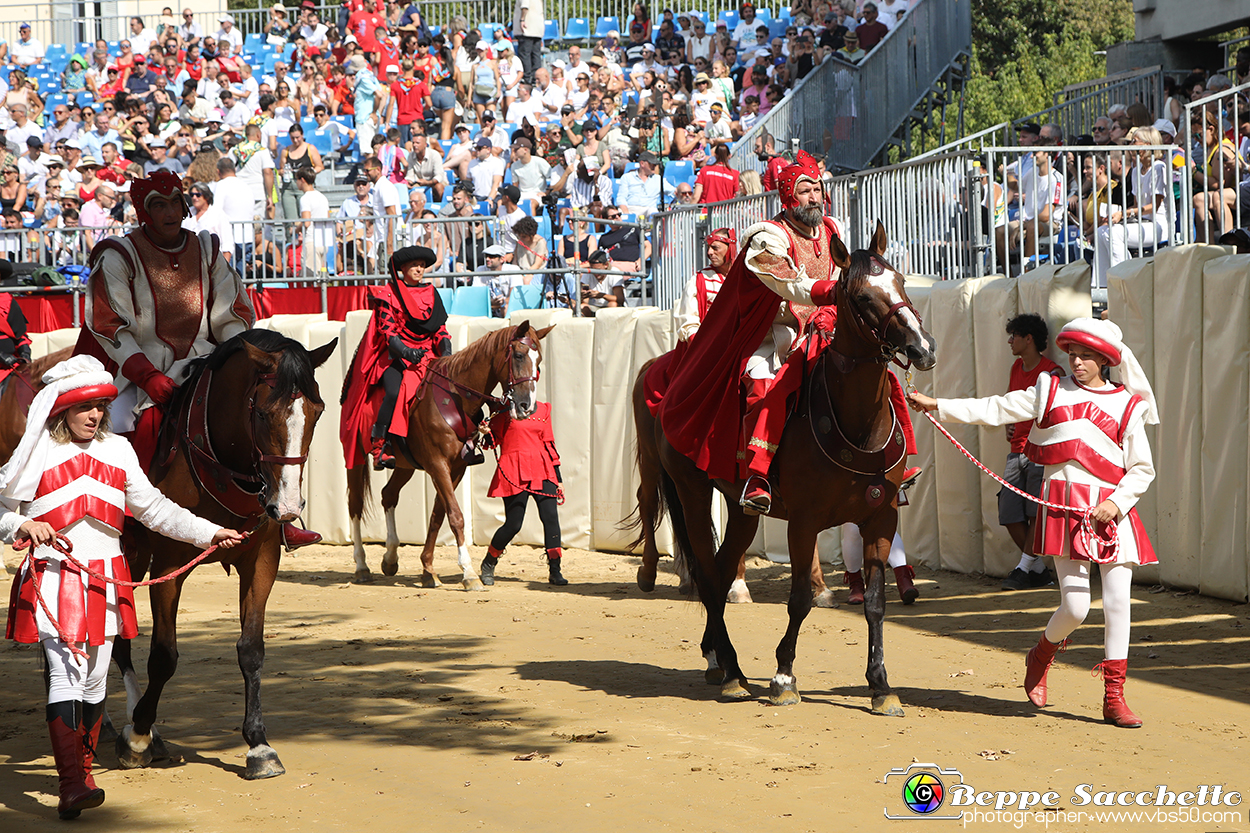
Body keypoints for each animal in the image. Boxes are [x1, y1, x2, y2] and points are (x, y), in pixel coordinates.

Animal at [111, 330, 335, 780]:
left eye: (317, 411)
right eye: (263, 413)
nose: (287, 507)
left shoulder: (261, 562)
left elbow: (251, 649)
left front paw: (259, 745)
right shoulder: (169, 567)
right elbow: (163, 656)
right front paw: (139, 735)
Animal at [345, 317, 555, 582]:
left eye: (539, 360)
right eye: (518, 355)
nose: (526, 406)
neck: (456, 398)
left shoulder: (456, 468)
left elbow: (438, 514)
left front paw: (428, 569)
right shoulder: (438, 465)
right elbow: (455, 515)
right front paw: (468, 573)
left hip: (405, 465)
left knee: (388, 495)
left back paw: (391, 557)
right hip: (354, 458)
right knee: (355, 505)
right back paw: (361, 565)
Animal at [635, 223, 940, 710]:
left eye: (902, 282)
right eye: (862, 297)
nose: (922, 348)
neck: (855, 422)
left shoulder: (880, 517)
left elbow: (875, 603)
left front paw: (881, 686)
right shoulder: (804, 521)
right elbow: (799, 600)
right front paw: (783, 678)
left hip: (740, 509)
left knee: (723, 569)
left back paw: (718, 659)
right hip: (692, 492)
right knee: (706, 571)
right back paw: (732, 670)